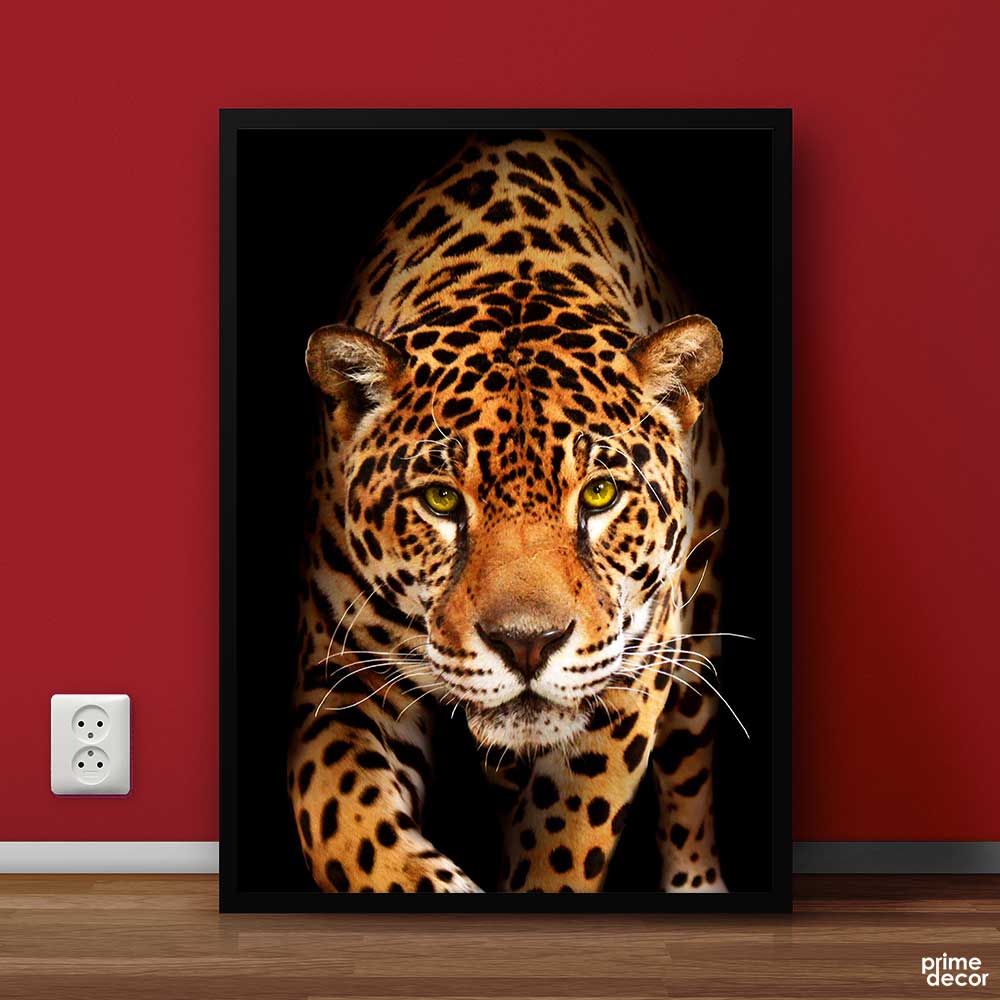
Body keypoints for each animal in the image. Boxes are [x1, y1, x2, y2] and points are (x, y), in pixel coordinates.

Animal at [287, 130, 730, 893]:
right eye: (441, 499)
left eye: (600, 495)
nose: (527, 644)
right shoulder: (341, 675)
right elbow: (345, 825)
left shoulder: (634, 668)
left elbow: (568, 835)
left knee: (691, 771)